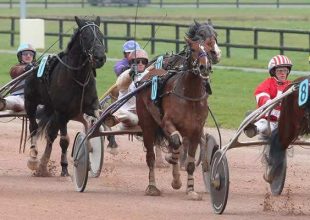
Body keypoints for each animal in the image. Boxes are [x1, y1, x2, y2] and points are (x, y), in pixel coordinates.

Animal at [24, 15, 106, 177]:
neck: (79, 78)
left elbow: (94, 121)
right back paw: (34, 159)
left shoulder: (91, 107)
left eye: (101, 36)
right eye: (86, 36)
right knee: (34, 127)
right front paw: (65, 168)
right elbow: (64, 140)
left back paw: (43, 165)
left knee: (50, 134)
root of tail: (33, 66)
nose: (100, 58)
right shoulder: (61, 112)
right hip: (31, 102)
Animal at [136, 21, 220, 199]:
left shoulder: (196, 130)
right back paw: (152, 187)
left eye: (209, 47)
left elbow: (190, 159)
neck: (189, 94)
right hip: (147, 124)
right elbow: (175, 141)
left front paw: (190, 190)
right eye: (193, 49)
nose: (205, 66)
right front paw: (175, 176)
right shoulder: (167, 122)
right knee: (151, 156)